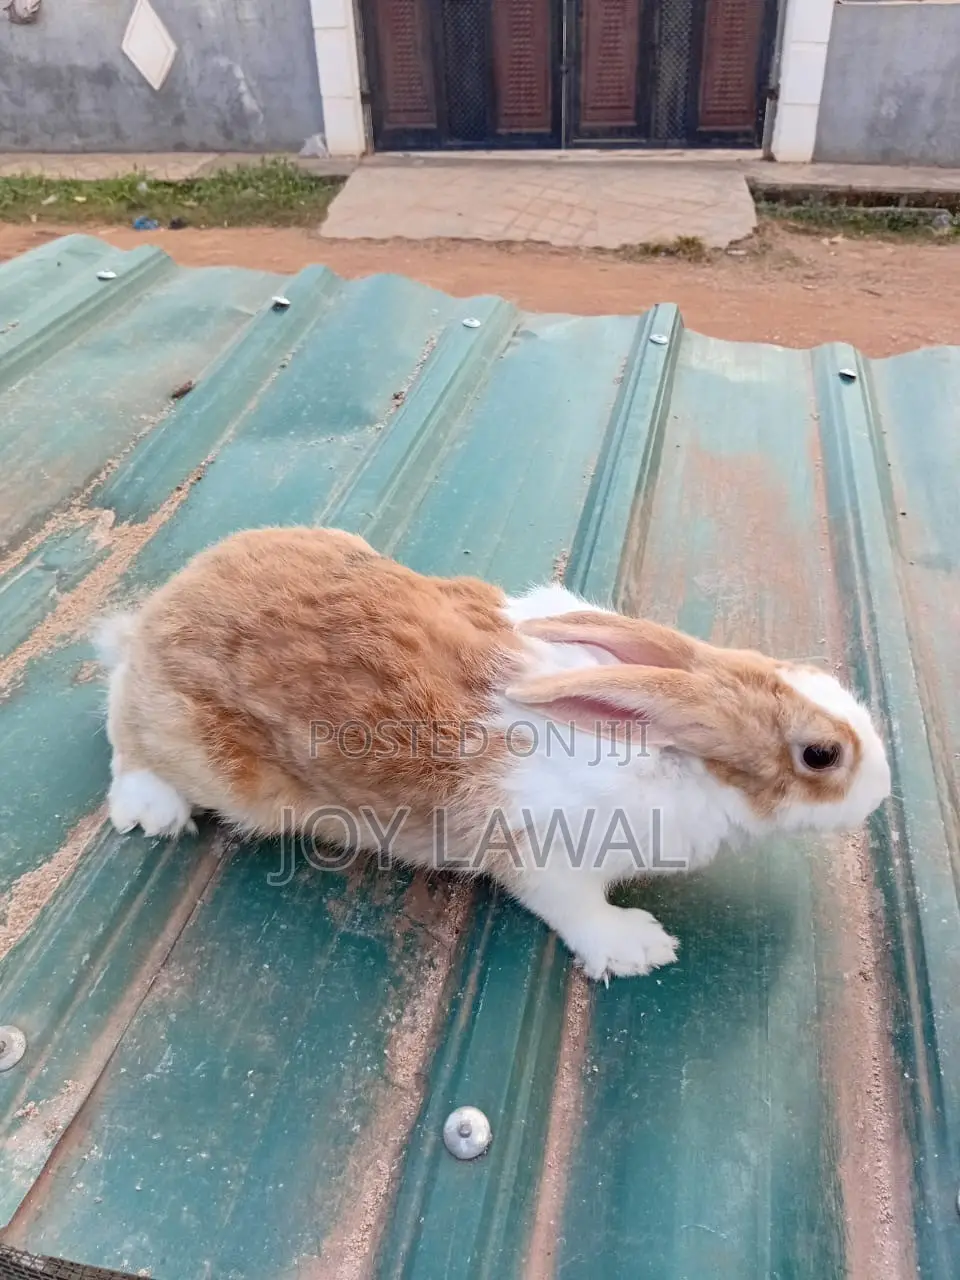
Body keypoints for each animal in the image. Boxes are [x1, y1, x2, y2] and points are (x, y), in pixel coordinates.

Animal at [93, 525, 892, 983]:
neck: (671, 753)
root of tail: (157, 618)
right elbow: (576, 908)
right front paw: (639, 948)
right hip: (201, 756)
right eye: (822, 755)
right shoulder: (552, 859)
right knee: (123, 727)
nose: (882, 789)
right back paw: (150, 809)